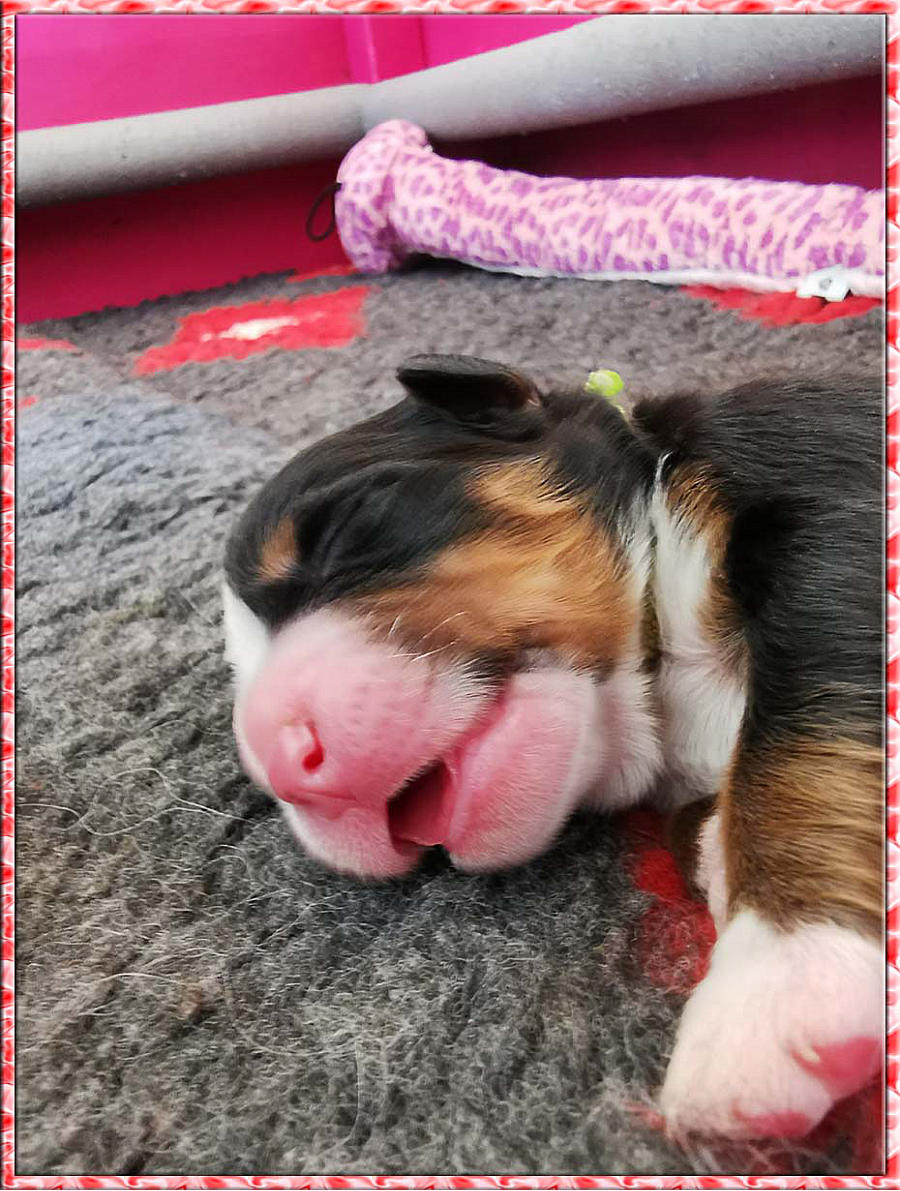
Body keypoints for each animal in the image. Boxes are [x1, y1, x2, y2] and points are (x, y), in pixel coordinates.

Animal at [223, 354, 883, 1143]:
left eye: (344, 526)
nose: (277, 758)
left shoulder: (826, 502)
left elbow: (803, 737)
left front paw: (779, 978)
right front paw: (721, 858)